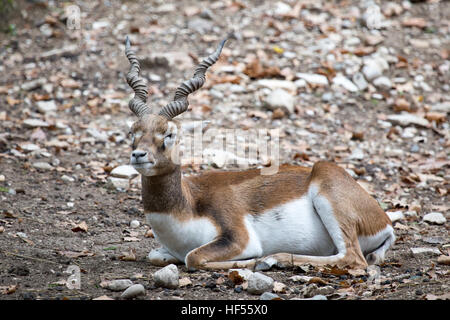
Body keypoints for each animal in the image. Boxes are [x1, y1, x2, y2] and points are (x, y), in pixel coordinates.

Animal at [123, 37, 394, 270]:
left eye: (169, 134)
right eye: (133, 131)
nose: (139, 155)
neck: (187, 206)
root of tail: (385, 221)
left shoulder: (240, 238)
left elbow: (193, 257)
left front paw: (254, 260)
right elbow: (156, 255)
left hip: (328, 193)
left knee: (352, 258)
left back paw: (273, 259)